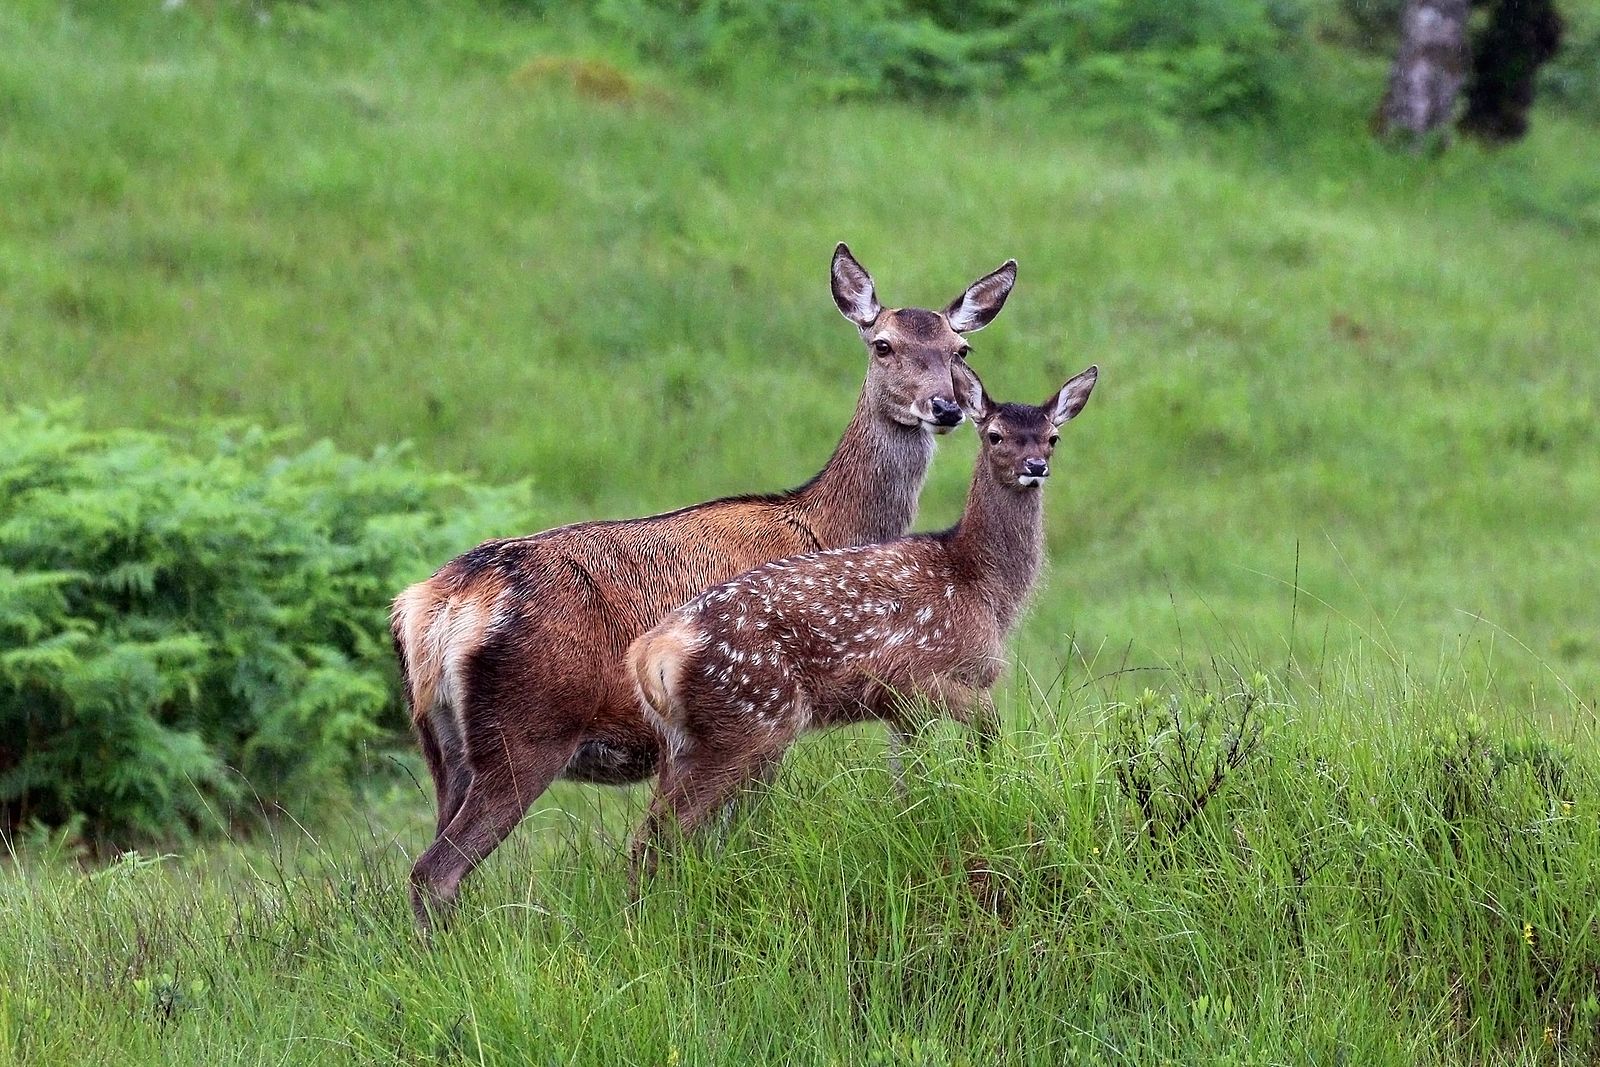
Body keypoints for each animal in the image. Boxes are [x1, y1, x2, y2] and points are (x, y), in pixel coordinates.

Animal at [390, 241, 1011, 927]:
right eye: (883, 344)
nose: (945, 408)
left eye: (960, 350)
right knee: (436, 872)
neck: (823, 525)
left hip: (441, 744)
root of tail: (441, 602)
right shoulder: (764, 716)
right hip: (525, 730)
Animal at [630, 358, 1094, 876]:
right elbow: (989, 725)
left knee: (654, 829)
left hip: (689, 737)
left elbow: (908, 779)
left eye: (1053, 437)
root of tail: (652, 653)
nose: (1035, 467)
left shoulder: (902, 710)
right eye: (994, 435)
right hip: (749, 718)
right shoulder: (917, 673)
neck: (980, 586)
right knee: (666, 831)